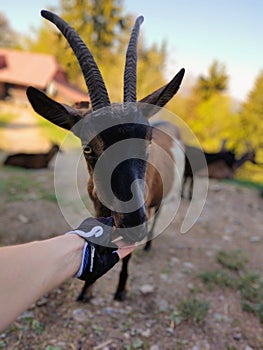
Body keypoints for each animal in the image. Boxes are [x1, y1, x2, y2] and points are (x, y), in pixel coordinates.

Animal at [25, 10, 185, 300]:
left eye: (147, 141)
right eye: (88, 148)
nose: (133, 222)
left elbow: (128, 256)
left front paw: (121, 289)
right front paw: (86, 290)